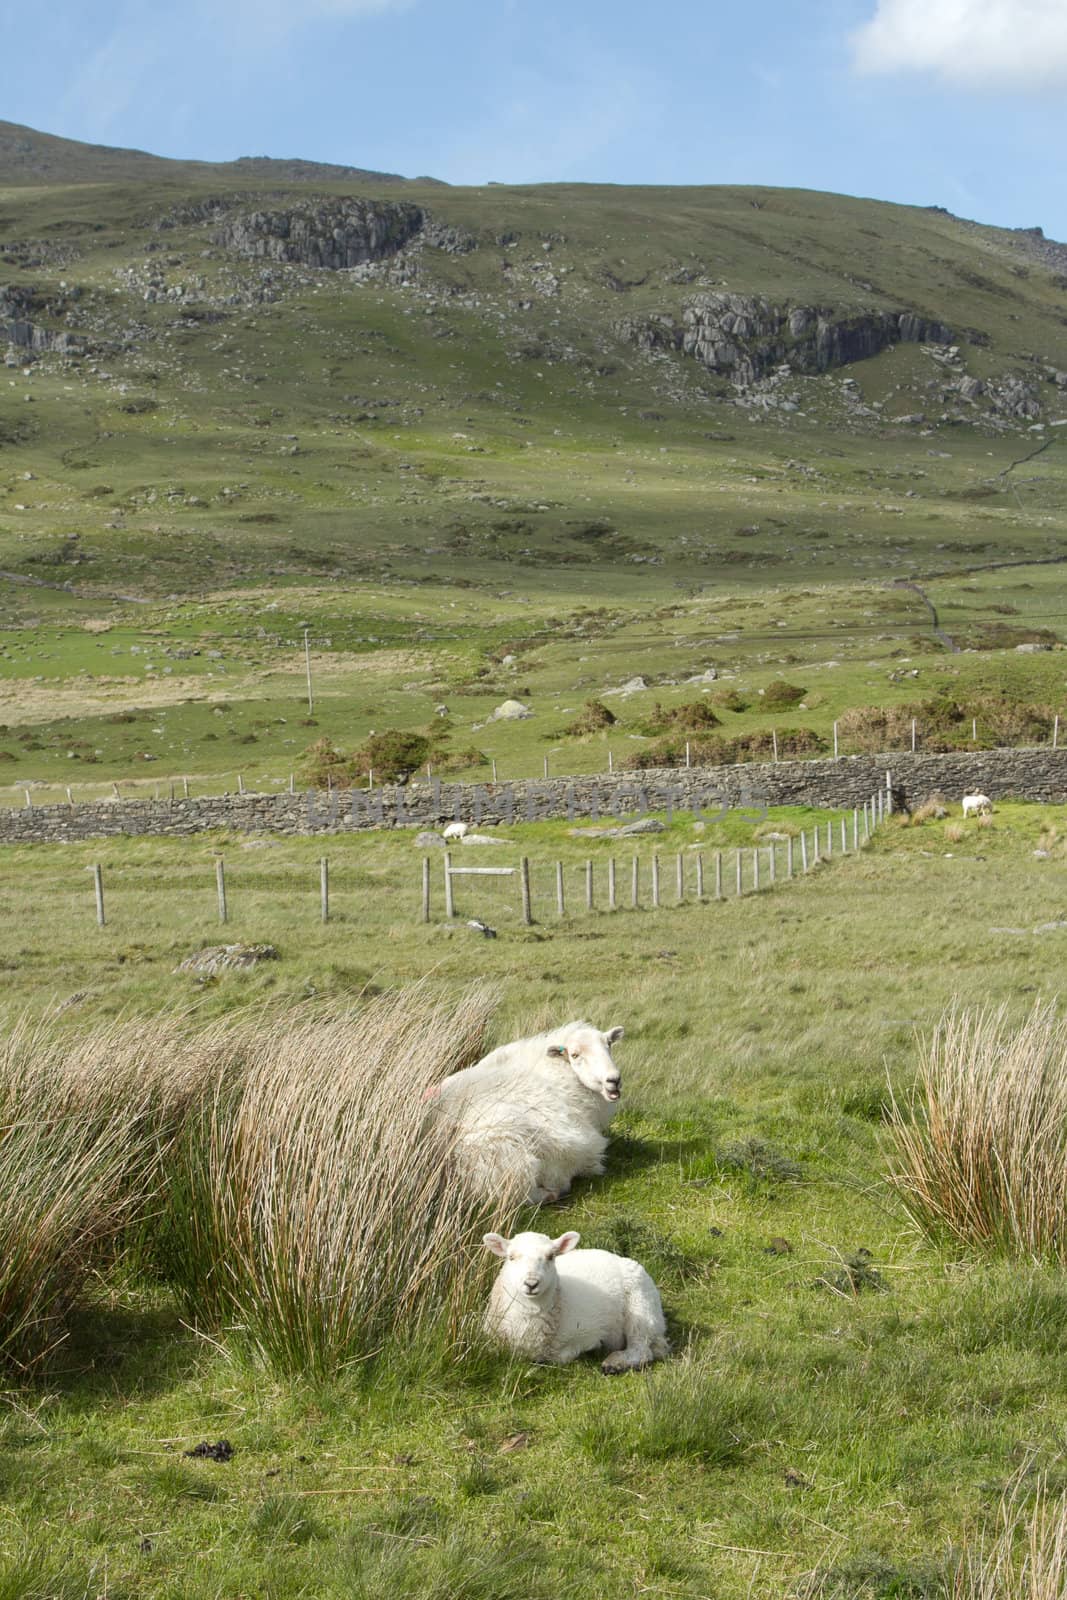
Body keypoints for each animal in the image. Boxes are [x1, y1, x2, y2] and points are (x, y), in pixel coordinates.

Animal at [483, 1228, 668, 1369]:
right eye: (511, 1257)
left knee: (642, 1349)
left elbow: (562, 1355)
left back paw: (614, 1363)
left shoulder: (586, 1332)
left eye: (551, 1257)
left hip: (641, 1307)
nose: (531, 1283)